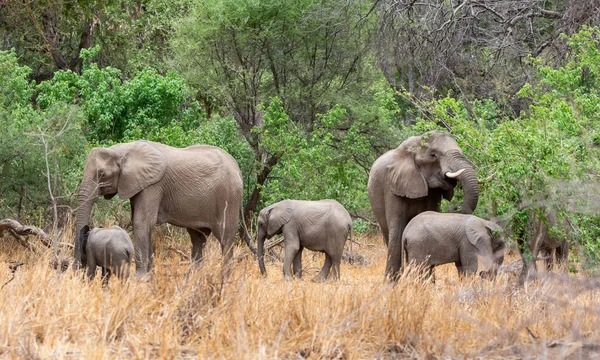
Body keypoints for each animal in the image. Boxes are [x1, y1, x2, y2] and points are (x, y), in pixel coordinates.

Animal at [74, 141, 253, 278]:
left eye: (102, 174)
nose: (78, 268)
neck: (122, 149)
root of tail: (238, 169)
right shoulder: (140, 185)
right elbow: (141, 223)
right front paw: (149, 275)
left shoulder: (153, 185)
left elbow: (141, 222)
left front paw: (139, 277)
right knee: (198, 239)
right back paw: (191, 278)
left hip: (228, 197)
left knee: (225, 238)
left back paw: (224, 278)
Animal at [366, 130, 478, 282]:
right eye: (433, 155)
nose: (457, 207)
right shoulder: (392, 187)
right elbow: (397, 227)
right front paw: (391, 284)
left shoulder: (434, 193)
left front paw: (426, 282)